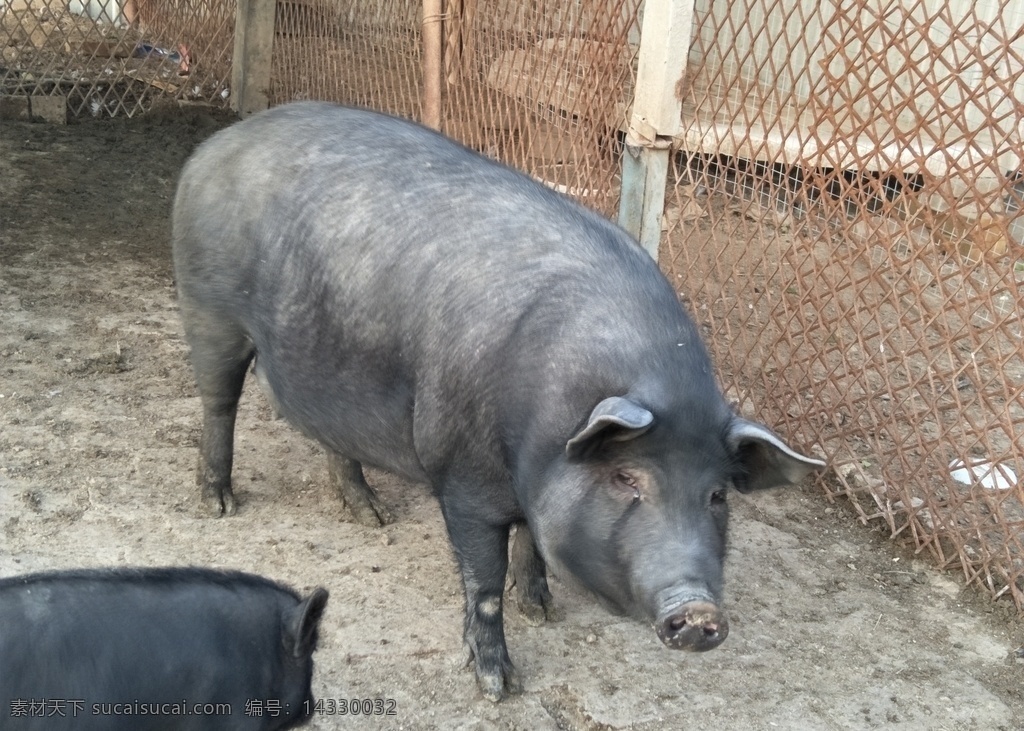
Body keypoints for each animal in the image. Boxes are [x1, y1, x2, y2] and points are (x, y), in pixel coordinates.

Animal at [169, 102, 823, 700]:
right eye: (627, 479)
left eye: (717, 495)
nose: (701, 612)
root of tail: (220, 142)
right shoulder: (463, 477)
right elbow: (482, 585)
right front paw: (499, 687)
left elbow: (532, 539)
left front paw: (543, 609)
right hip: (209, 309)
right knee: (218, 402)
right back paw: (219, 504)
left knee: (331, 434)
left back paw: (373, 516)